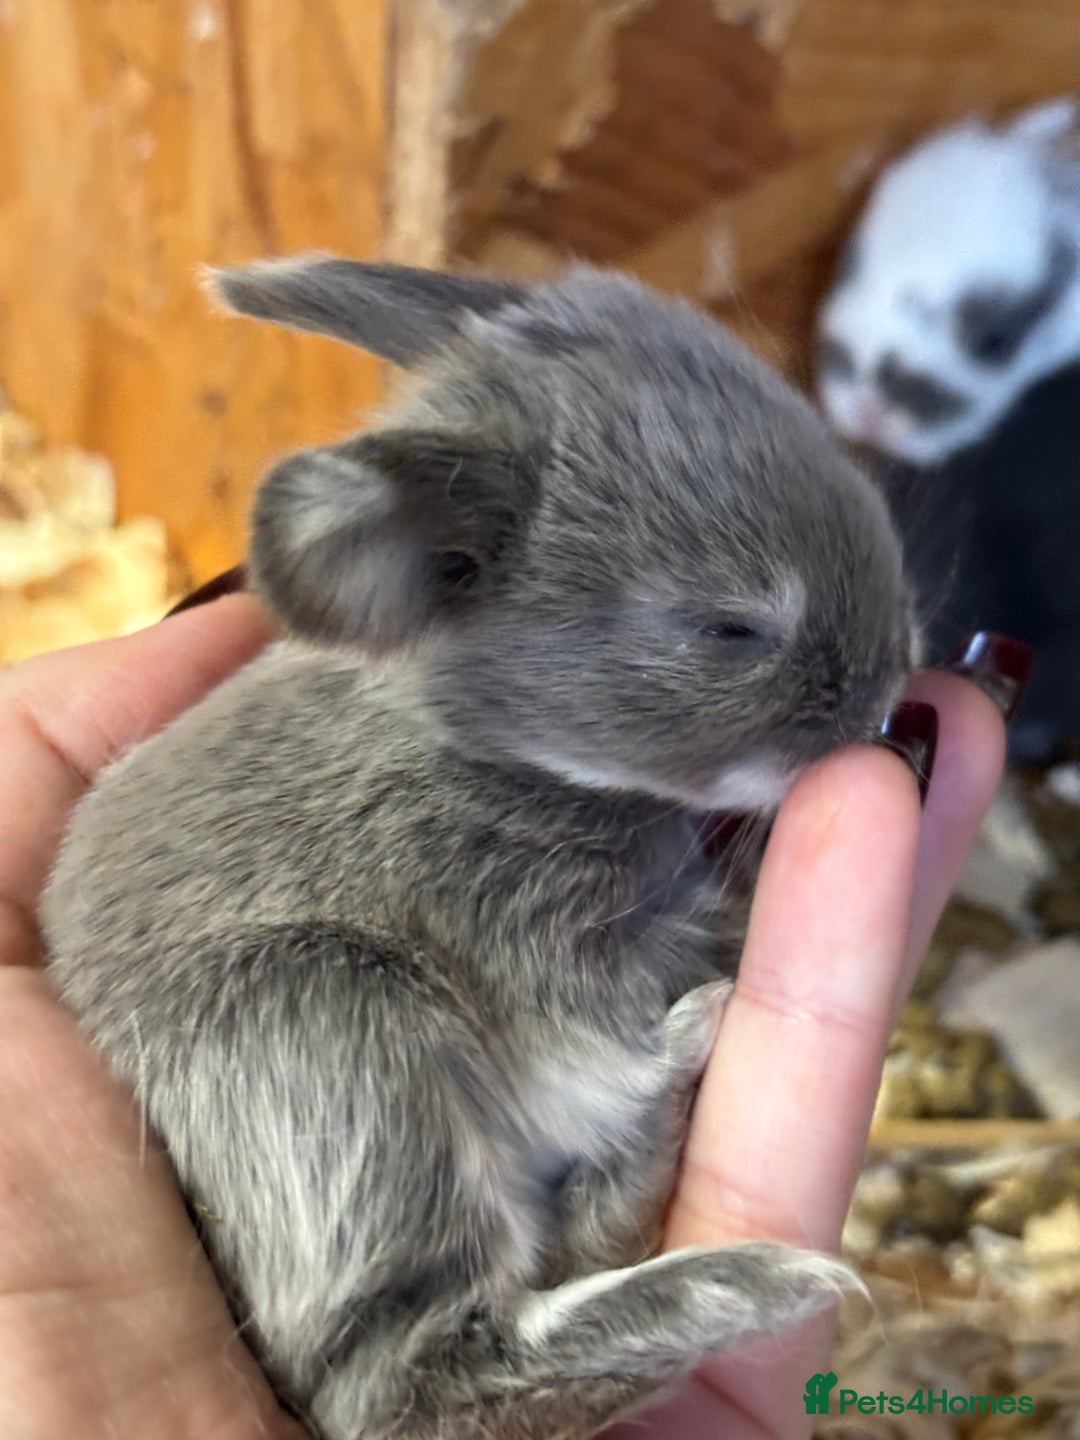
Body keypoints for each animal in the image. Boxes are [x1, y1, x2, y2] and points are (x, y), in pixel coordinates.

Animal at [40, 258, 917, 1440]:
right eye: (728, 627)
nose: (892, 685)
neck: (489, 745)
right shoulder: (527, 937)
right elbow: (623, 1021)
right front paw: (698, 1013)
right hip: (333, 1034)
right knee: (416, 1380)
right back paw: (749, 1280)